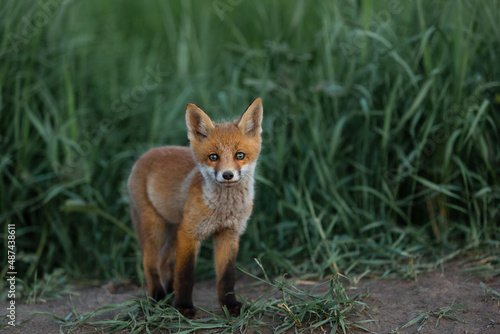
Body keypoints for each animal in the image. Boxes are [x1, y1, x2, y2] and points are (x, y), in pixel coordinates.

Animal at [127, 97, 264, 318]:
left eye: (240, 155)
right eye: (213, 157)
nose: (227, 175)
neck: (223, 210)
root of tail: (149, 152)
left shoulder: (229, 234)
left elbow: (227, 277)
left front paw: (229, 305)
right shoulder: (189, 233)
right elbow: (185, 275)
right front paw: (183, 306)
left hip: (174, 229)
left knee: (166, 262)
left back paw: (169, 294)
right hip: (155, 228)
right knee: (151, 262)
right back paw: (158, 297)